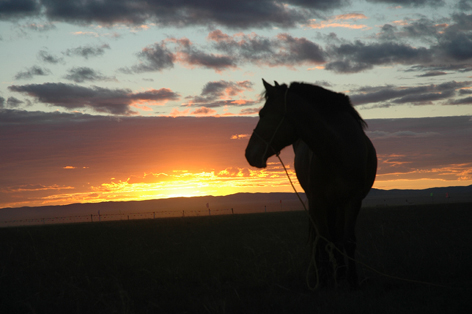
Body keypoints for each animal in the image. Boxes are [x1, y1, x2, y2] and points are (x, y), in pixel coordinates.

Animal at [245, 79, 378, 288]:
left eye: (262, 114)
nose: (249, 154)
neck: (338, 150)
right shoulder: (317, 201)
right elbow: (323, 240)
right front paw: (323, 279)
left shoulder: (353, 200)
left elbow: (347, 240)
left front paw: (351, 280)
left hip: (337, 204)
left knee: (337, 237)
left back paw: (339, 272)